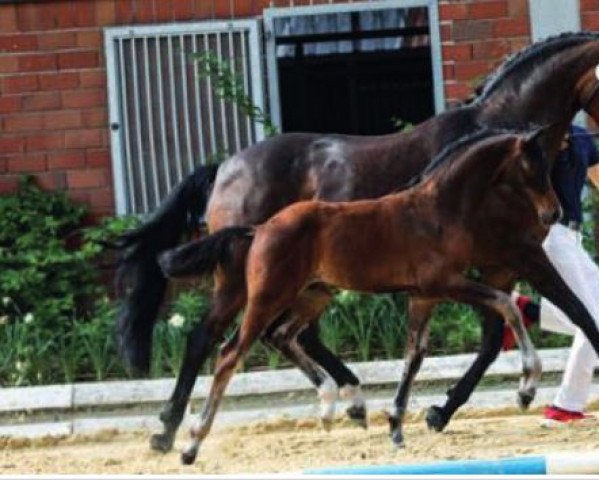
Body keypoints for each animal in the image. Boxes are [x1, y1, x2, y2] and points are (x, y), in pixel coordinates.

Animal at [113, 31, 599, 452]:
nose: (555, 212)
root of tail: (224, 169)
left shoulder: (494, 265)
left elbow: (496, 333)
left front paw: (438, 412)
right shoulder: (516, 254)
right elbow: (569, 313)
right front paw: (452, 408)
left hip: (308, 282)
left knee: (289, 333)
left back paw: (346, 401)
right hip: (240, 276)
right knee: (210, 336)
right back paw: (168, 431)